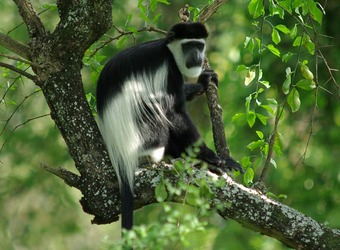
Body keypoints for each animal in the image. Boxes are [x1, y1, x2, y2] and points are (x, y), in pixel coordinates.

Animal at [96, 23, 242, 230]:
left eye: (199, 45)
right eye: (188, 46)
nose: (197, 57)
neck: (168, 52)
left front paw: (203, 82)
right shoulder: (168, 71)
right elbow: (174, 111)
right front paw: (213, 158)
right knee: (153, 111)